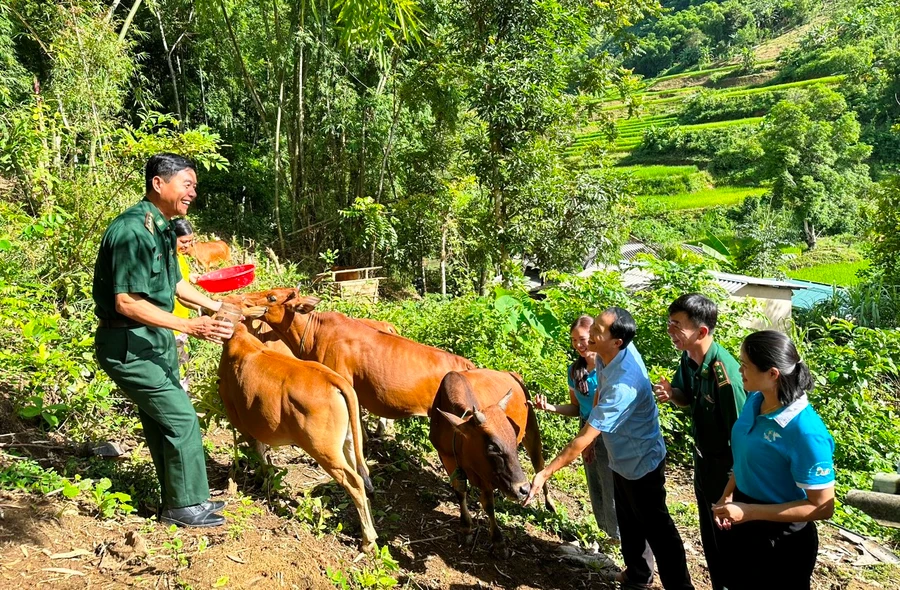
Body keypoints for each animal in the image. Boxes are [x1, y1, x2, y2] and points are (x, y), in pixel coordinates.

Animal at [220, 322, 378, 552]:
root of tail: (335, 380)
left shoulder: (241, 421)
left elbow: (259, 454)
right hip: (347, 442)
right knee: (362, 474)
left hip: (324, 451)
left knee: (355, 482)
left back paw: (368, 540)